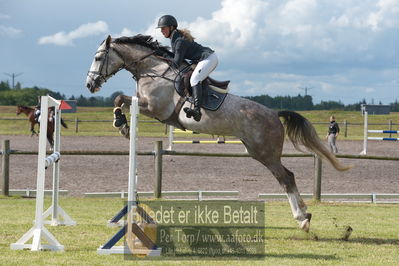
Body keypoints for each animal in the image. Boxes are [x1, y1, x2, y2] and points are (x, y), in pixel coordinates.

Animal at [86, 34, 352, 231]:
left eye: (98, 57)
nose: (90, 85)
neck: (153, 69)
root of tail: (274, 114)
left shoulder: (154, 109)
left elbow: (119, 98)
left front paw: (121, 122)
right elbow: (120, 99)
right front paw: (122, 124)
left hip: (264, 152)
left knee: (286, 178)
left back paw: (302, 219)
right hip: (258, 151)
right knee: (287, 177)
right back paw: (305, 213)